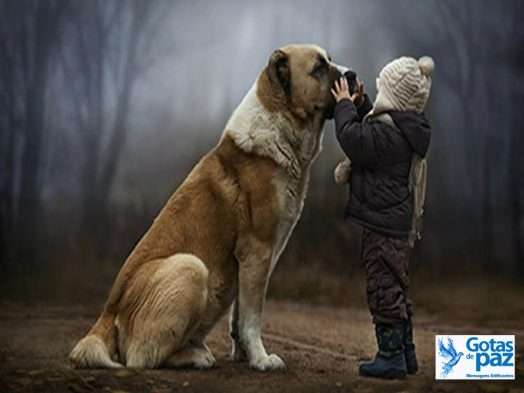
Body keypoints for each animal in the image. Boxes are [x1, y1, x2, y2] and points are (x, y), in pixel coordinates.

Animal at [71, 44, 346, 370]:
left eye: (328, 61)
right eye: (318, 68)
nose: (353, 76)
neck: (280, 126)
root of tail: (107, 313)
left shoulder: (249, 262)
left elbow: (239, 317)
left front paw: (244, 356)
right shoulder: (257, 251)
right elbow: (252, 317)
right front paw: (262, 360)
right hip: (190, 267)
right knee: (142, 357)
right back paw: (196, 356)